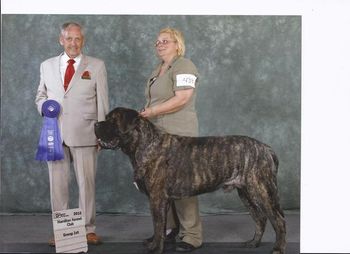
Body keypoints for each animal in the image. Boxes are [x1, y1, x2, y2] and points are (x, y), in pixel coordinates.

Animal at [94, 107, 286, 254]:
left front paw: (155, 248)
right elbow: (161, 226)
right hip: (246, 193)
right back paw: (253, 243)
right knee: (260, 219)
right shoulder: (162, 200)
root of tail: (266, 148)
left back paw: (278, 248)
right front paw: (155, 242)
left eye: (112, 121)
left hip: (262, 190)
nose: (96, 124)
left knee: (278, 220)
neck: (143, 144)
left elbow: (157, 224)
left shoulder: (157, 198)